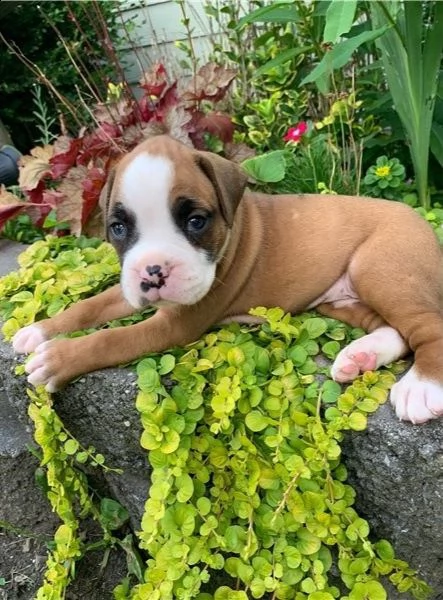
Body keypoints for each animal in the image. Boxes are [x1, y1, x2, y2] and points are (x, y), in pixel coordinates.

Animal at [11, 134, 443, 424]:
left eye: (195, 221)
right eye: (118, 228)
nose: (154, 271)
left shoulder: (174, 324)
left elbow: (111, 338)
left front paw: (57, 358)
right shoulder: (129, 287)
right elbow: (89, 306)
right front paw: (37, 331)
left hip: (379, 269)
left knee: (426, 327)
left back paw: (421, 387)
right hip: (341, 299)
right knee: (395, 331)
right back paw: (360, 357)